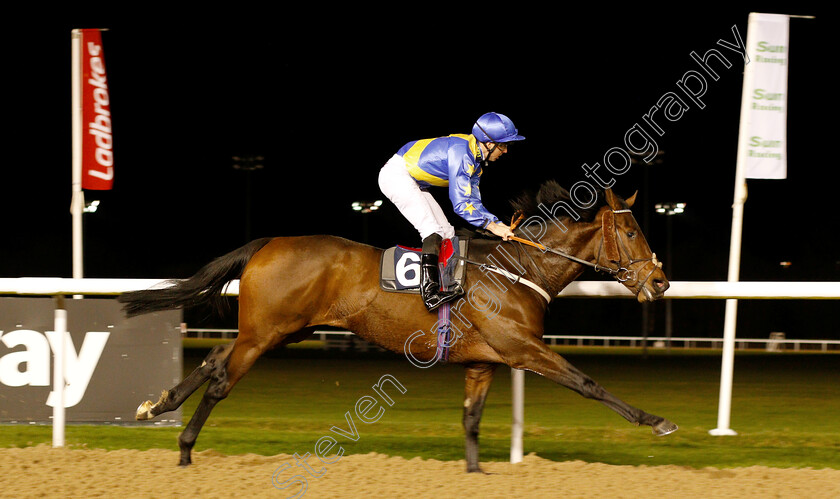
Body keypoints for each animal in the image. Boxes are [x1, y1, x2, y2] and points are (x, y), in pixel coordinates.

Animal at [121, 182, 680, 470]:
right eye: (632, 230)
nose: (661, 281)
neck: (520, 270)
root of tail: (268, 242)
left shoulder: (485, 360)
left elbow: (471, 419)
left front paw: (476, 471)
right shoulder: (524, 349)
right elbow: (588, 383)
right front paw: (656, 420)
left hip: (281, 330)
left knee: (215, 360)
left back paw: (159, 407)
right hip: (266, 332)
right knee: (221, 380)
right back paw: (184, 447)